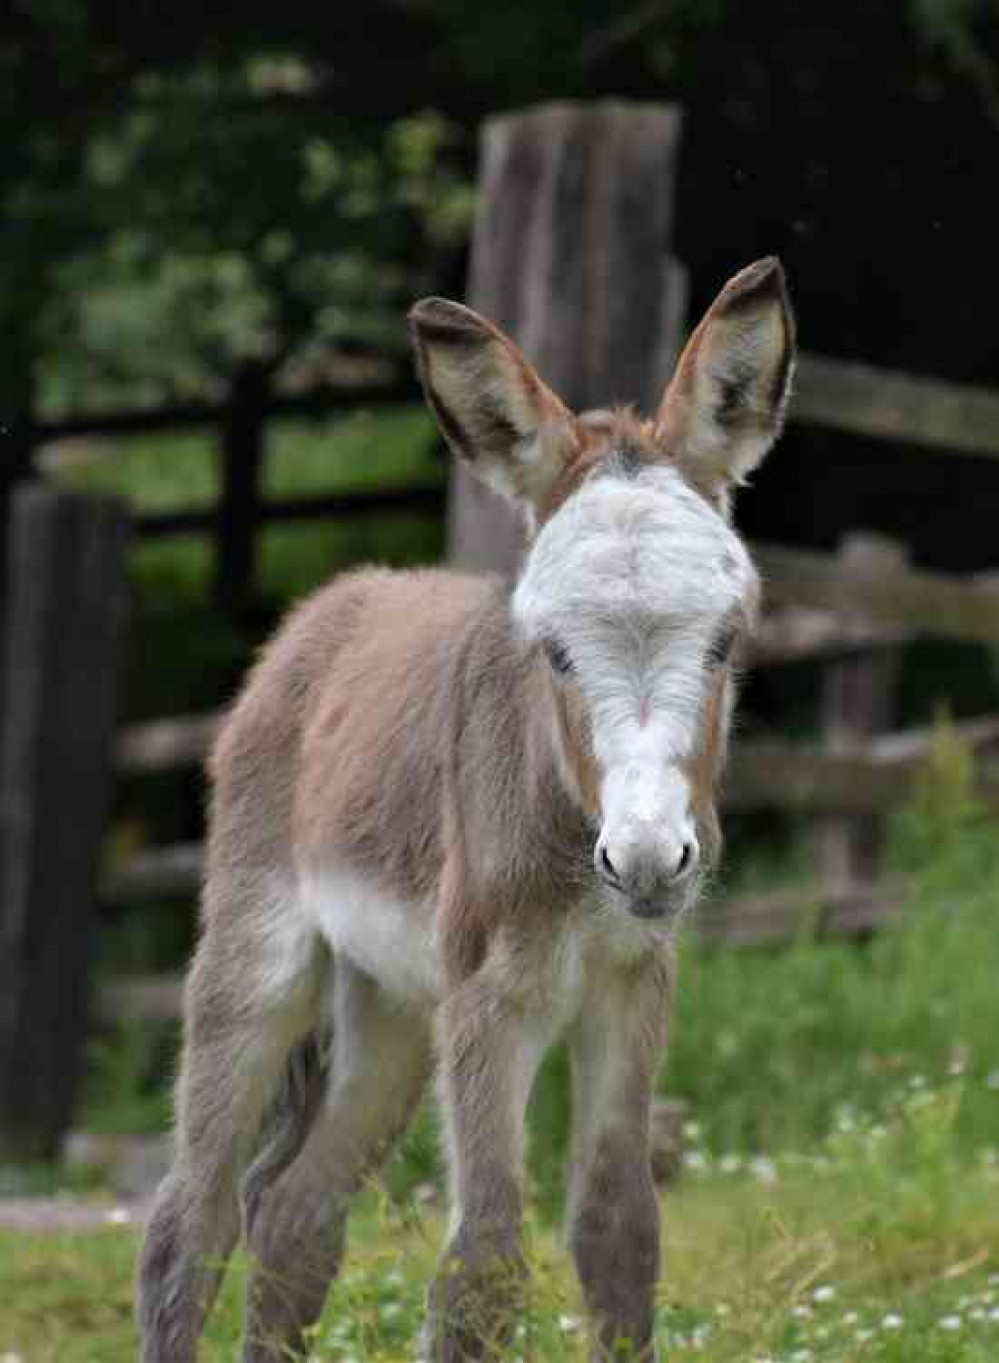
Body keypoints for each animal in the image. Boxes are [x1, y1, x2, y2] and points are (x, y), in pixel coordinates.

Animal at [138, 253, 795, 1352]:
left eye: (727, 641)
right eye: (554, 651)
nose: (647, 858)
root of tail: (332, 606)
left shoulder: (630, 983)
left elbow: (620, 1232)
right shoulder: (493, 1001)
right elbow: (482, 1264)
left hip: (392, 1005)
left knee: (295, 1215)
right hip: (262, 961)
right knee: (190, 1222)